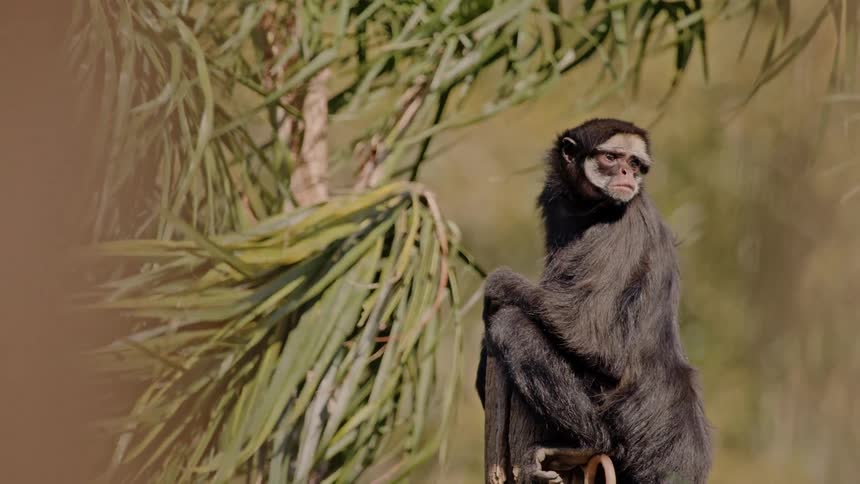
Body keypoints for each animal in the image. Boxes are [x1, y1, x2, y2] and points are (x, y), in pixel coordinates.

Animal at [477, 119, 712, 484]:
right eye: (613, 158)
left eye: (635, 163)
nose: (628, 174)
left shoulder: (621, 229)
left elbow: (590, 337)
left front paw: (497, 286)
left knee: (510, 324)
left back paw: (589, 443)